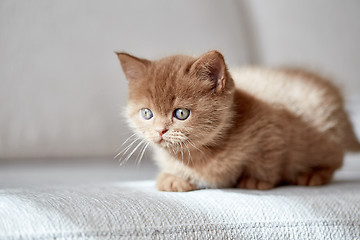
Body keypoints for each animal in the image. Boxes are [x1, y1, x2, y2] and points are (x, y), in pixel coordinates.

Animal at [116, 50, 358, 191]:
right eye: (146, 113)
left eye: (181, 113)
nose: (160, 131)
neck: (199, 157)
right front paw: (172, 177)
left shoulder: (272, 131)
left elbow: (269, 160)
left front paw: (256, 179)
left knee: (335, 160)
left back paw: (313, 174)